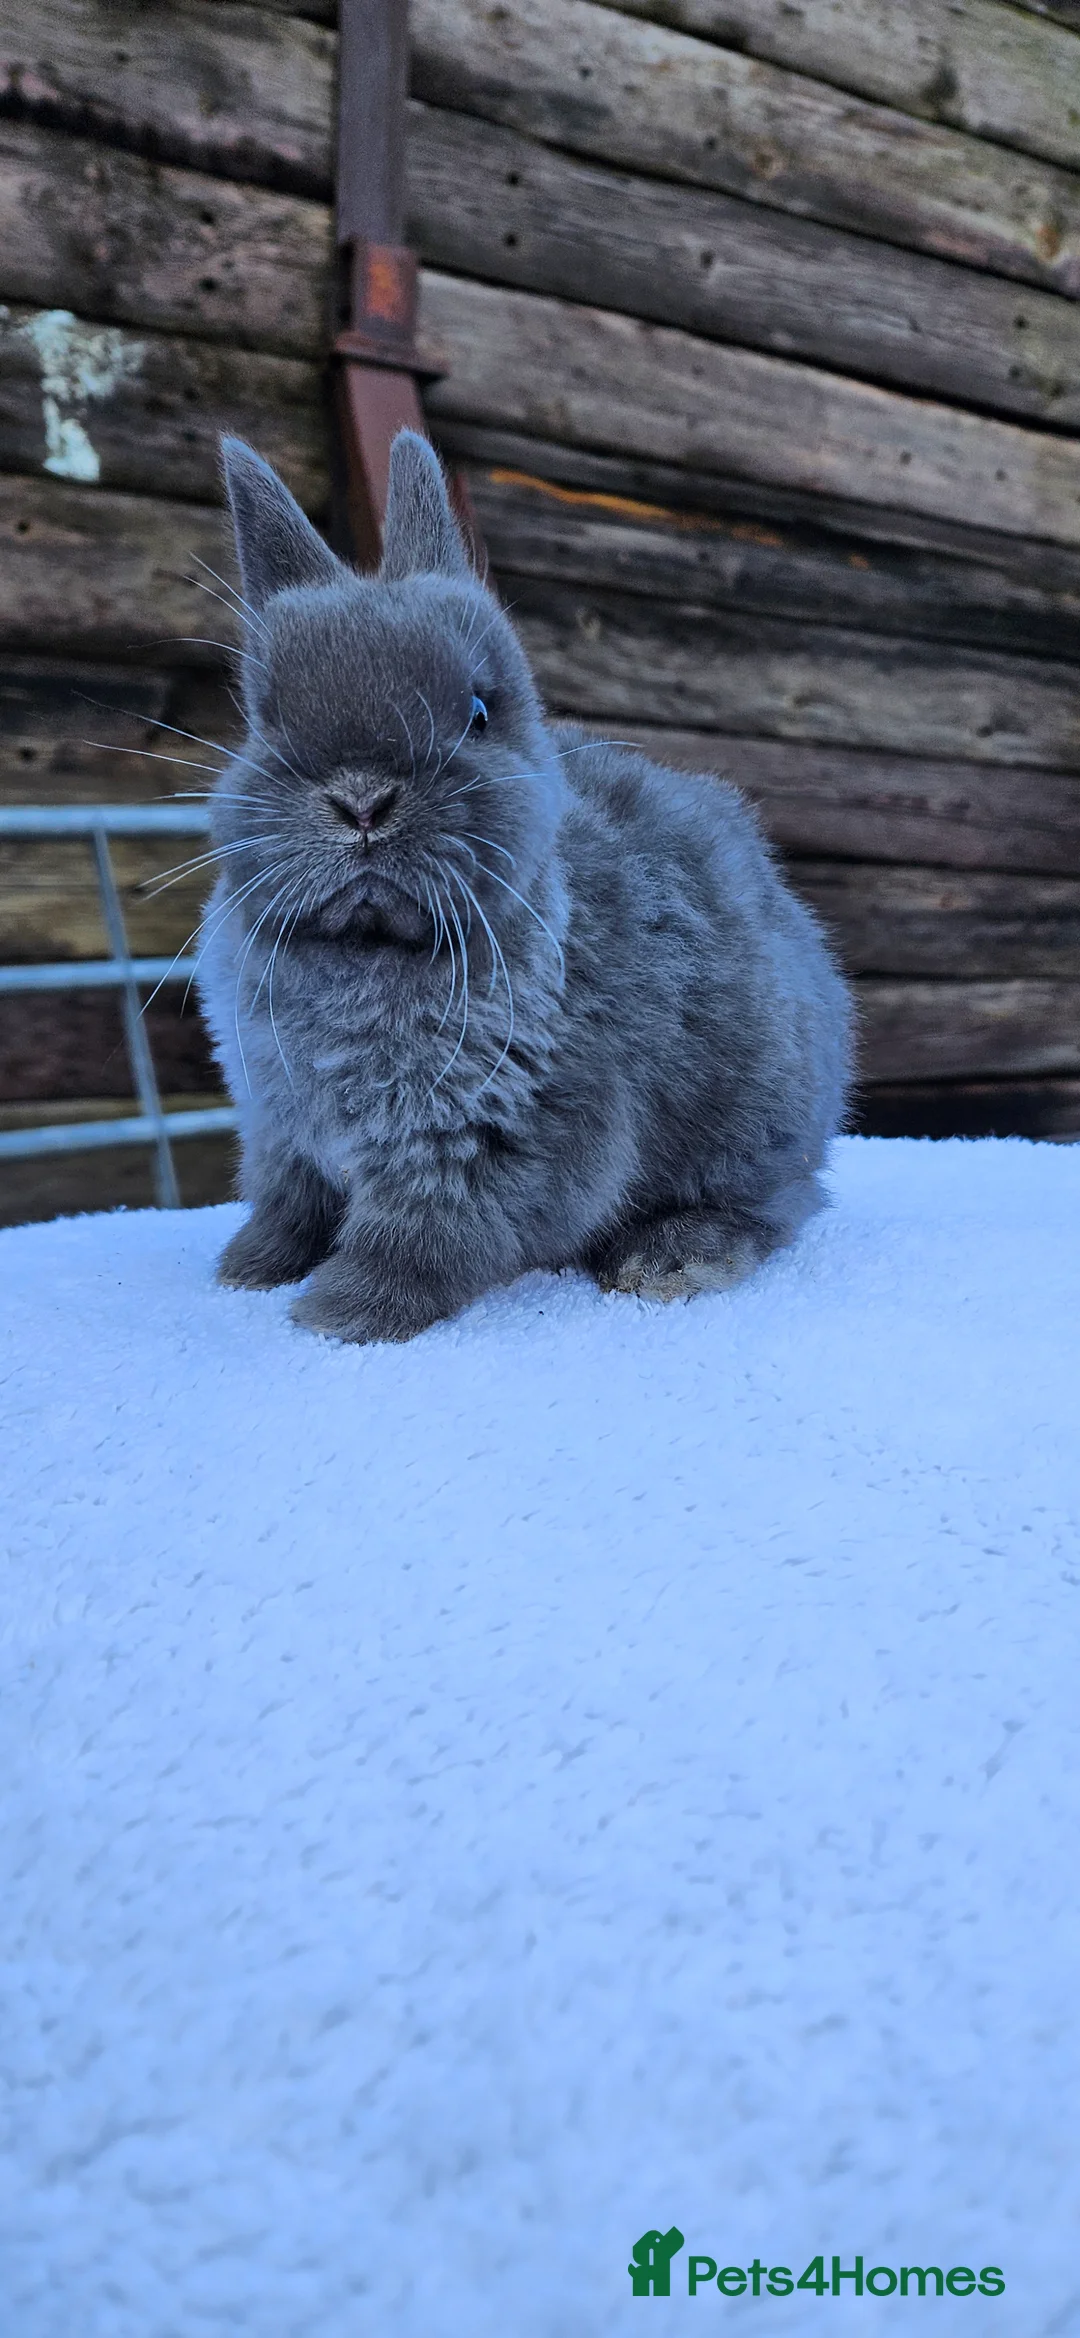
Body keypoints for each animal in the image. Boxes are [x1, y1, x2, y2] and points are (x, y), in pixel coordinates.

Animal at [196, 430, 852, 1343]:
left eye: (477, 713)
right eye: (262, 721)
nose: (361, 799)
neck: (367, 949)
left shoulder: (490, 1139)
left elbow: (426, 1238)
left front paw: (338, 1316)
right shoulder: (280, 1131)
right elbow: (287, 1206)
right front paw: (248, 1271)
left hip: (756, 1117)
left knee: (776, 1204)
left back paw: (668, 1262)